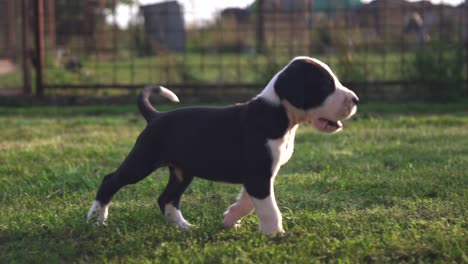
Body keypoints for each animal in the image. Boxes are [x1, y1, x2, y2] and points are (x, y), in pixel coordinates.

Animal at [87, 56, 358, 235]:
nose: (355, 100)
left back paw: (184, 227)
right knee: (110, 180)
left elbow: (249, 202)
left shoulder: (263, 174)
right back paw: (97, 219)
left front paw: (230, 218)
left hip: (182, 172)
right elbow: (268, 207)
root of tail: (156, 116)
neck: (278, 114)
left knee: (166, 199)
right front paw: (275, 234)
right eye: (324, 86)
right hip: (143, 161)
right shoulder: (258, 174)